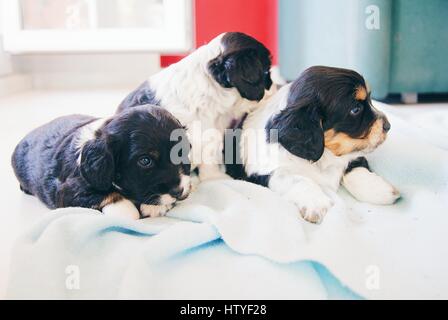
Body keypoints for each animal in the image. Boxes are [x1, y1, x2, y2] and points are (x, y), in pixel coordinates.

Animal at [10, 105, 189, 220]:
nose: (178, 192)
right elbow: (115, 200)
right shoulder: (68, 190)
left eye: (182, 152)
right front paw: (125, 209)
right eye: (145, 161)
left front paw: (155, 206)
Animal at [229, 66, 400, 224]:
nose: (388, 126)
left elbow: (354, 168)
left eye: (370, 101)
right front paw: (317, 204)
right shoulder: (264, 171)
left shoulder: (352, 154)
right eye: (355, 109)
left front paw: (380, 190)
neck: (324, 156)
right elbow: (297, 179)